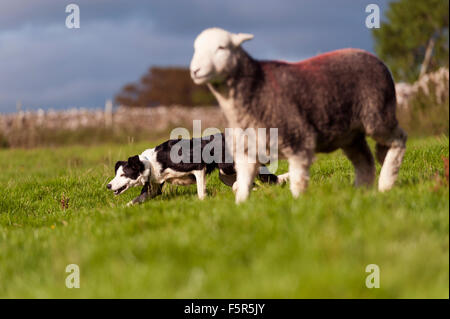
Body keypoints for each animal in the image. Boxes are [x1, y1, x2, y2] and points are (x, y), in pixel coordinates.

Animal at [107, 133, 288, 206]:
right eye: (116, 174)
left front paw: (203, 202)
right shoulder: (153, 188)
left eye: (123, 174)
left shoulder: (198, 167)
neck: (151, 162)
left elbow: (201, 192)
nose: (108, 186)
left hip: (227, 167)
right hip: (224, 175)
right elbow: (133, 202)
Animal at [190, 26, 408, 202]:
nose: (195, 71)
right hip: (350, 134)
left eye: (222, 48)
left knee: (399, 139)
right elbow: (242, 187)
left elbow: (297, 182)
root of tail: (371, 56)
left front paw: (298, 206)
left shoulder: (299, 140)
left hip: (377, 114)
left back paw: (386, 183)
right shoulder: (247, 151)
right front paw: (242, 208)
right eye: (196, 49)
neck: (258, 87)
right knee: (365, 161)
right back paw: (361, 191)